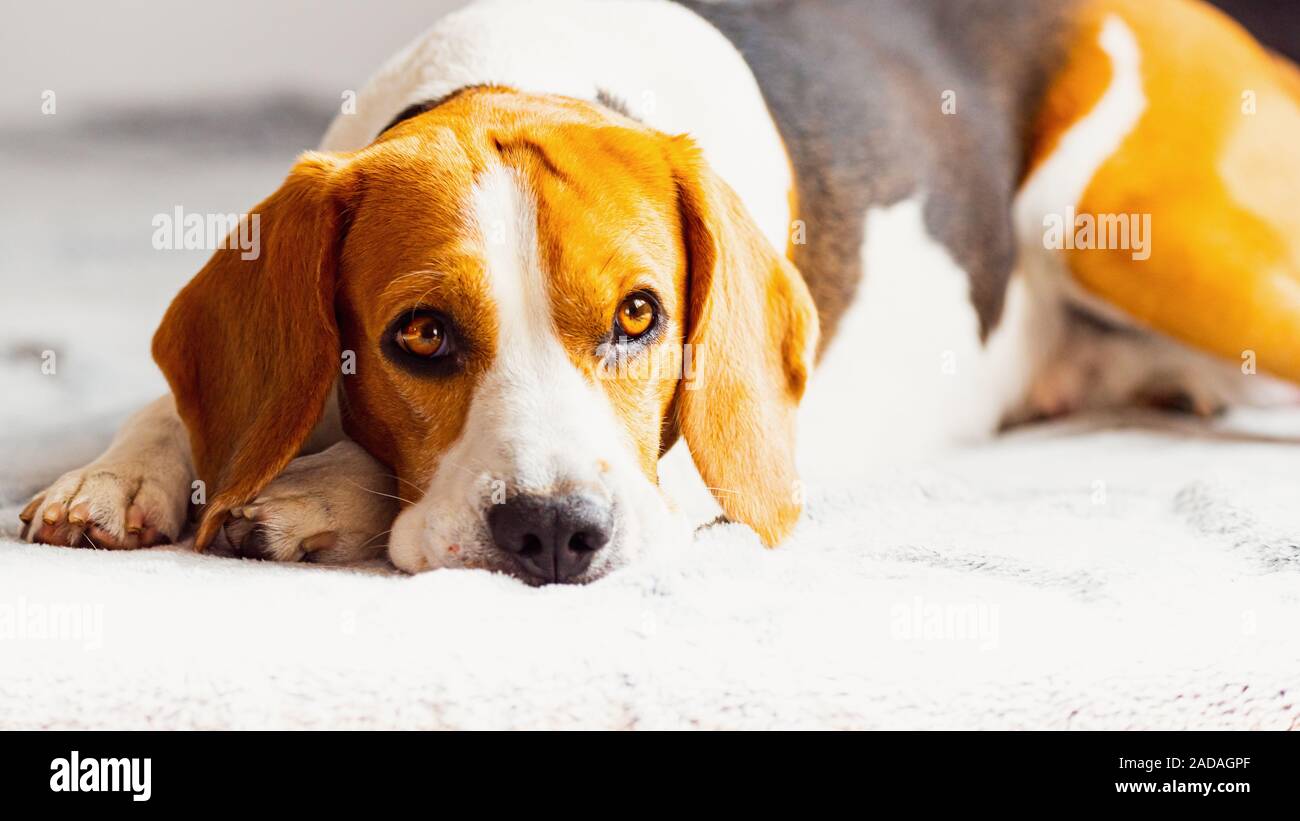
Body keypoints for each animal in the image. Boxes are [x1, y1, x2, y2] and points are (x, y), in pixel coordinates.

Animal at [17, 0, 1300, 584]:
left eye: (640, 316)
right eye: (420, 334)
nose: (552, 532)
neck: (525, 73)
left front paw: (315, 495)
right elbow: (173, 406)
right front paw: (116, 474)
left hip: (1147, 239)